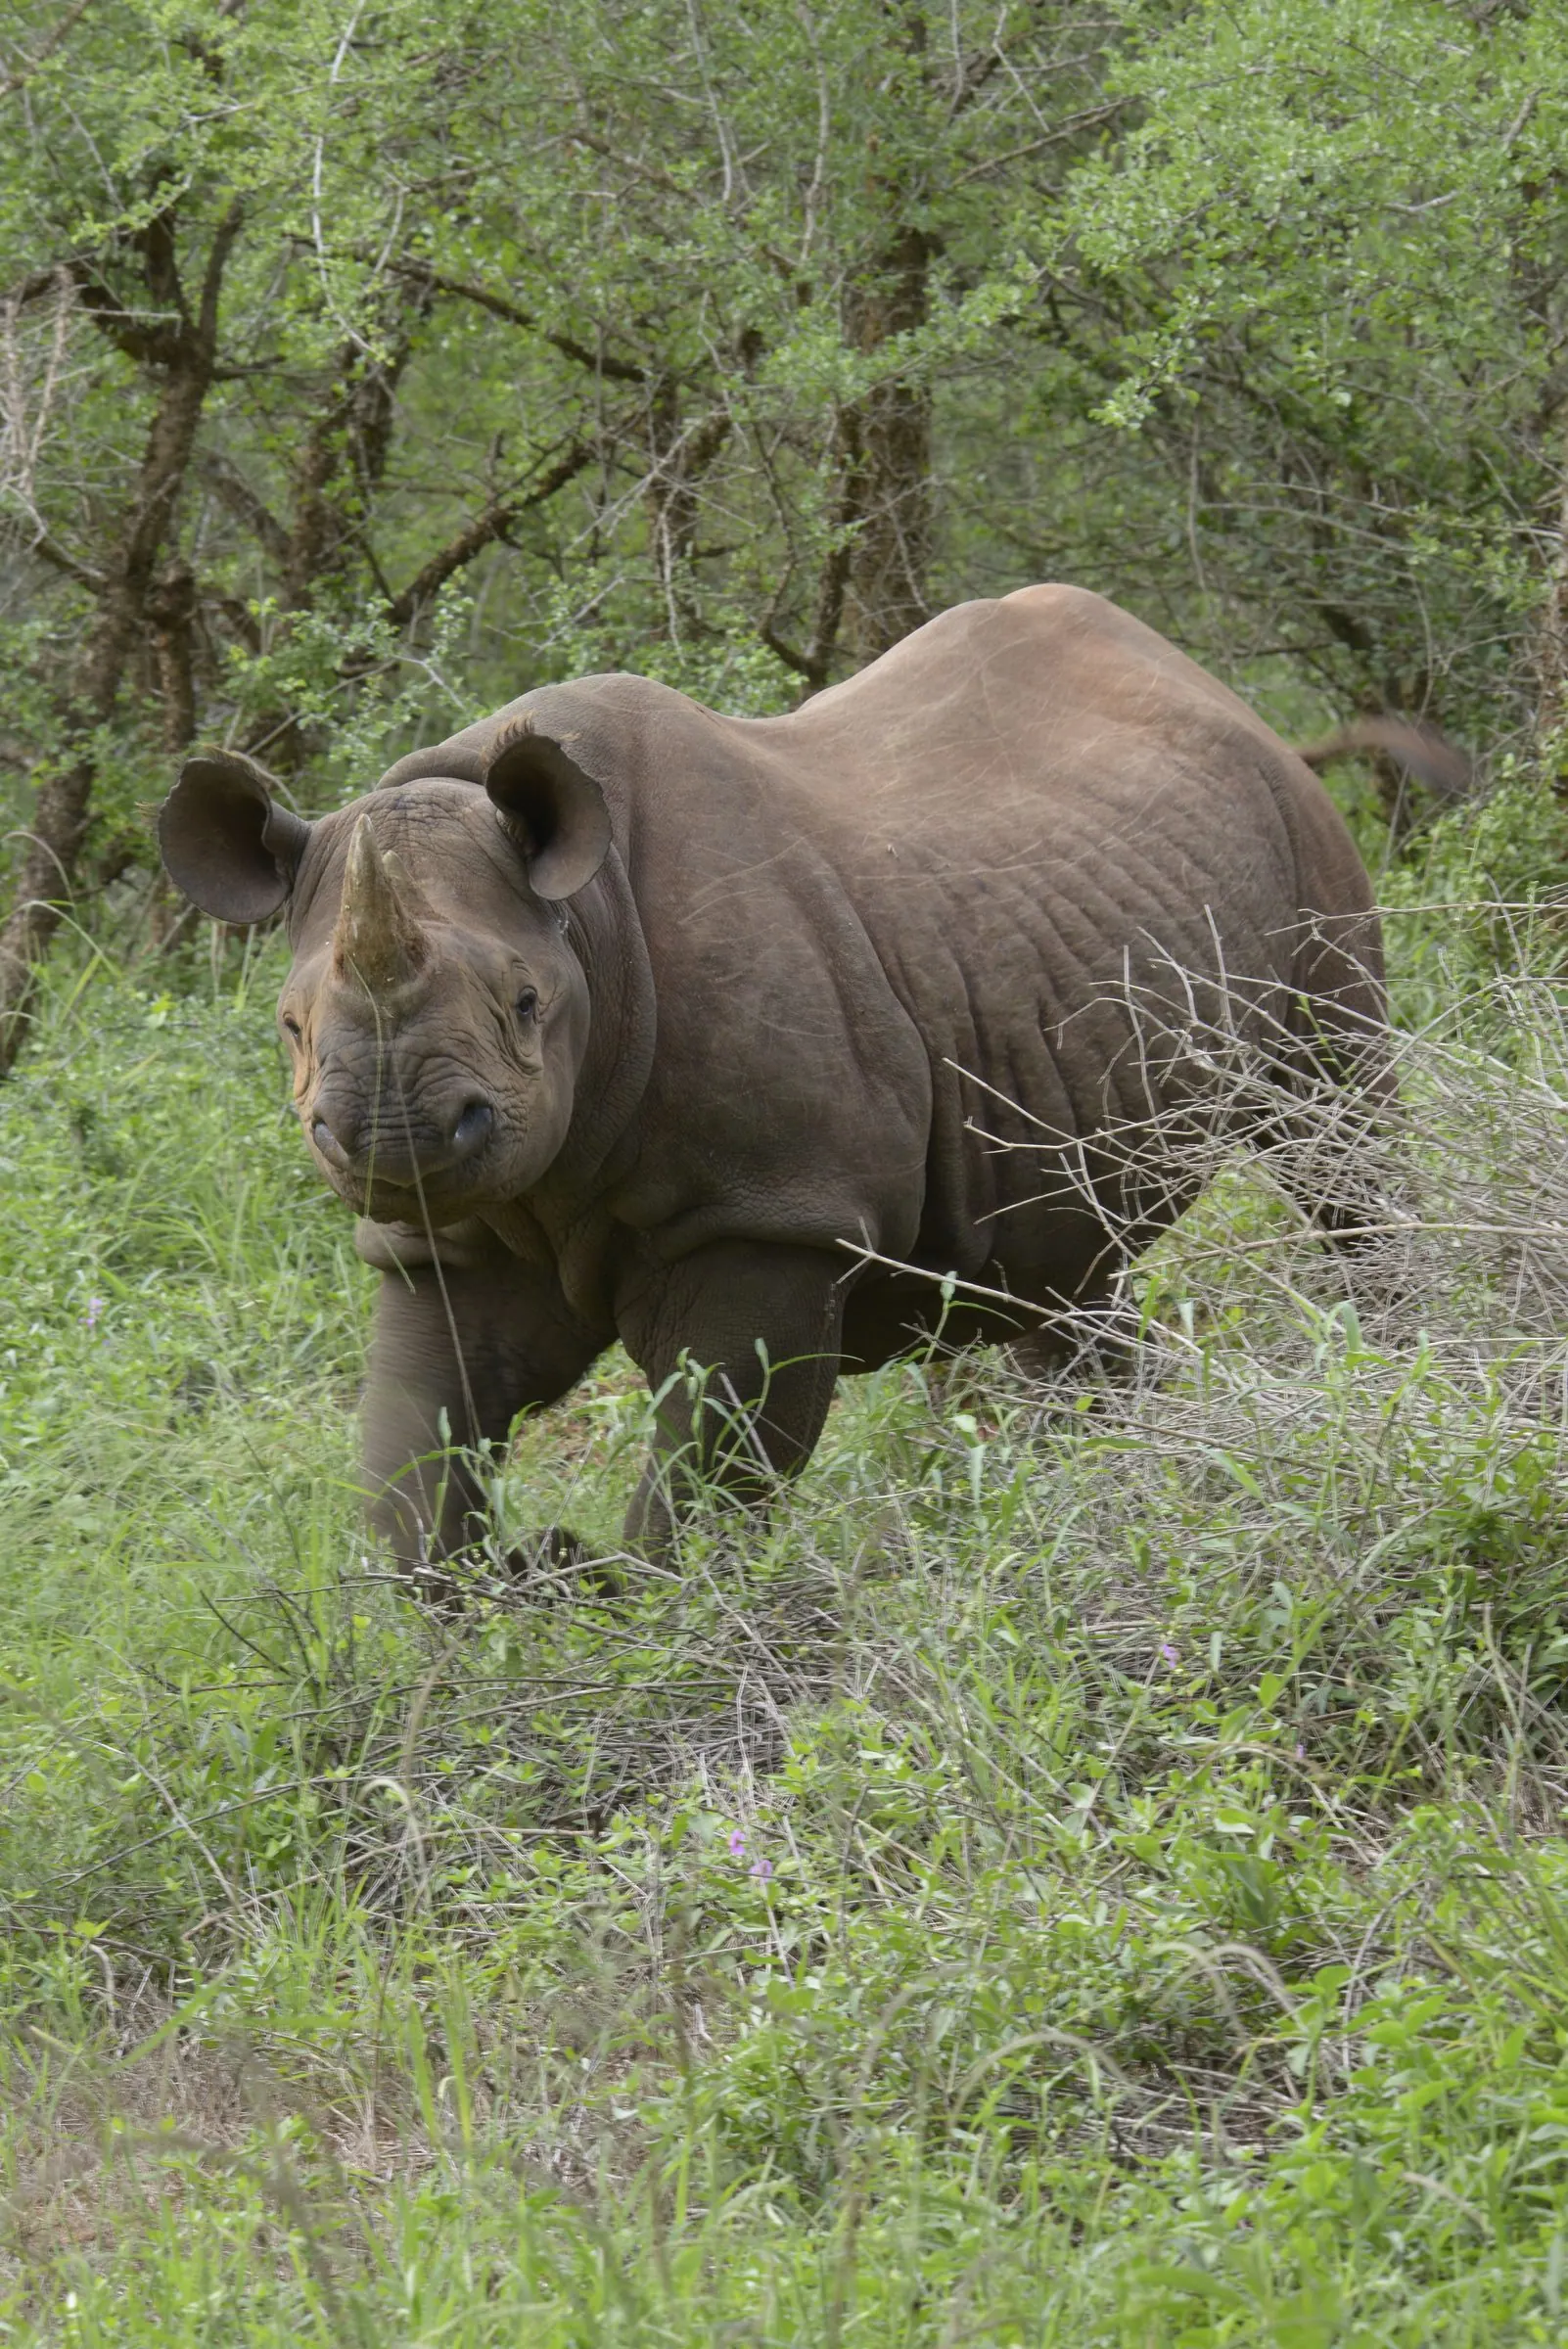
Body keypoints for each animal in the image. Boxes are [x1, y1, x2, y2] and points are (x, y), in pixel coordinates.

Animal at [159, 585, 1394, 1573]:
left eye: (524, 1004)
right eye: (289, 1028)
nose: (393, 1138)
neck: (589, 932)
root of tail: (1207, 681)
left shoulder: (770, 1212)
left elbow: (713, 1468)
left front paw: (643, 1618)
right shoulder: (444, 1238)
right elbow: (413, 1452)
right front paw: (497, 1599)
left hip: (1301, 833)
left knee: (1336, 1116)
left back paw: (1379, 1347)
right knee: (1064, 1258)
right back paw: (1099, 1480)